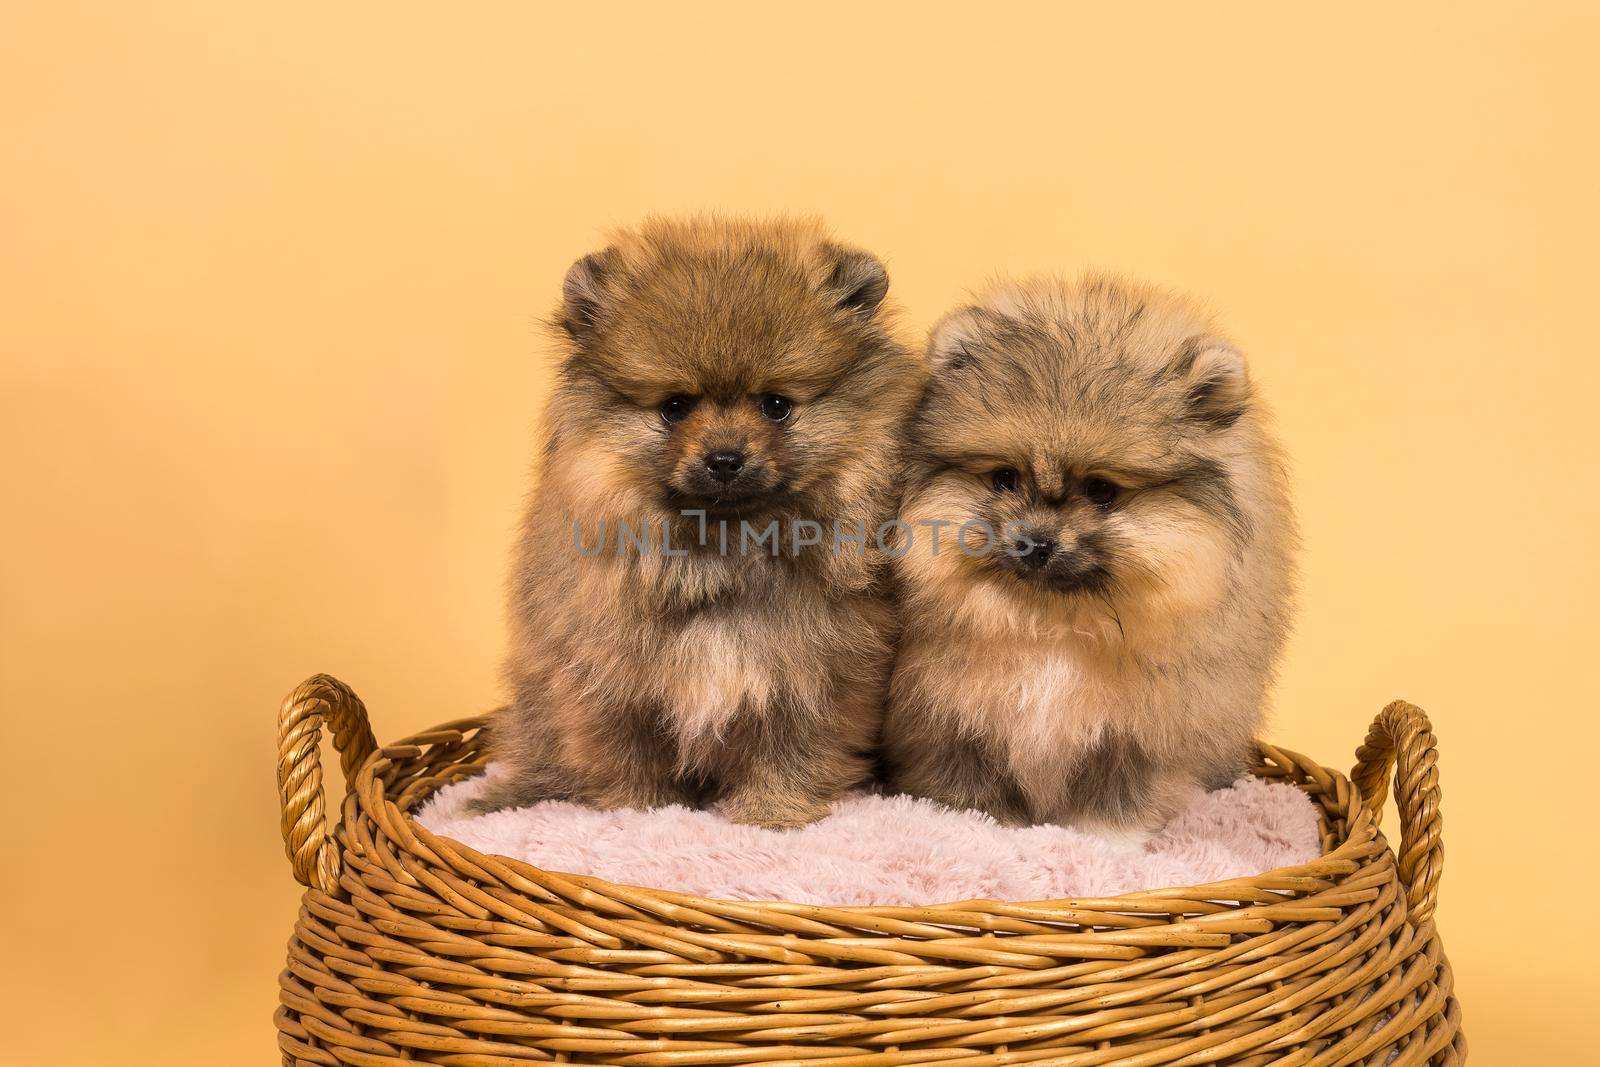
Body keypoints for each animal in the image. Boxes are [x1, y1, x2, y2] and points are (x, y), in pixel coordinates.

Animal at [473, 217, 921, 831]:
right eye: (676, 406)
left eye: (775, 405)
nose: (725, 458)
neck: (724, 550)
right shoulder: (610, 685)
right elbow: (629, 759)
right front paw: (641, 814)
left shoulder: (815, 678)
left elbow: (793, 753)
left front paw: (772, 815)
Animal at [876, 278, 1299, 844]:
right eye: (1005, 478)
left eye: (1101, 491)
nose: (1034, 542)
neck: (1054, 624)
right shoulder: (948, 722)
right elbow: (969, 787)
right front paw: (984, 829)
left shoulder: (1139, 736)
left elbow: (1117, 800)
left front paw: (1105, 845)